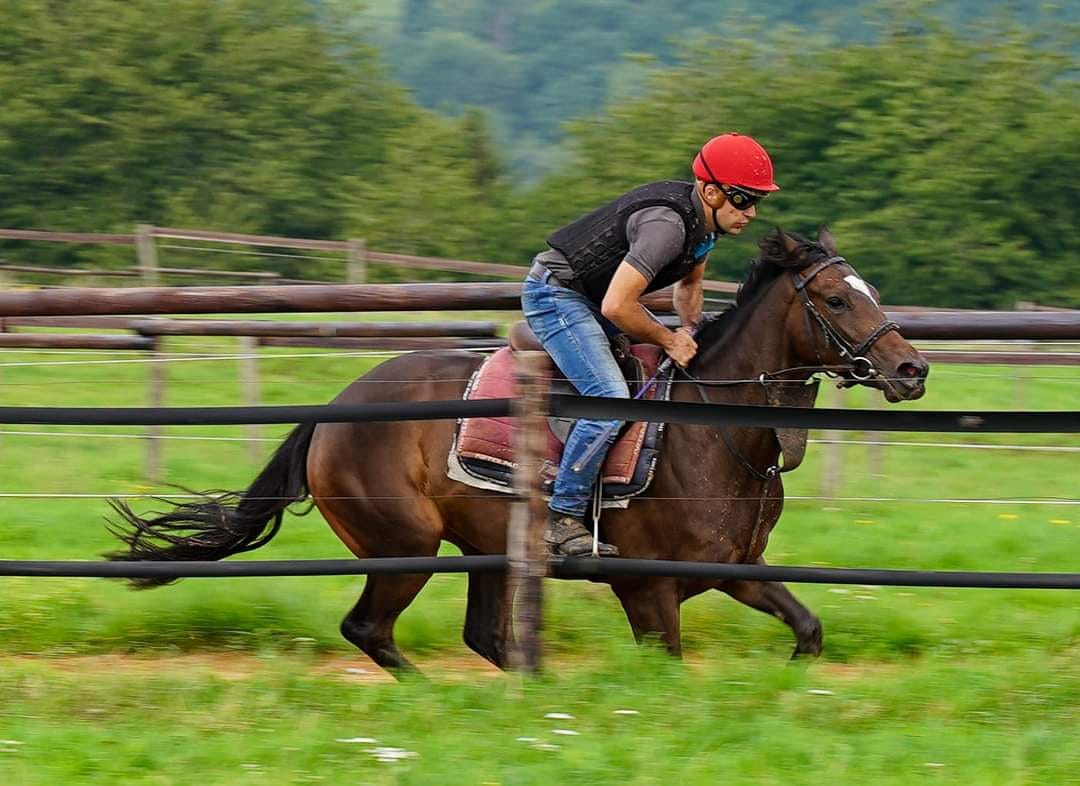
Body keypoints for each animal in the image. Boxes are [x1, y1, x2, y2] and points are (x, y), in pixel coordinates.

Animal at [109, 228, 928, 673]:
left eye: (868, 290)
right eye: (837, 299)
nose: (912, 369)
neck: (712, 427)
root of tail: (331, 412)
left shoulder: (735, 568)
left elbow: (808, 630)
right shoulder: (645, 585)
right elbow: (666, 661)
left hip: (483, 549)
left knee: (483, 636)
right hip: (404, 545)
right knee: (370, 628)